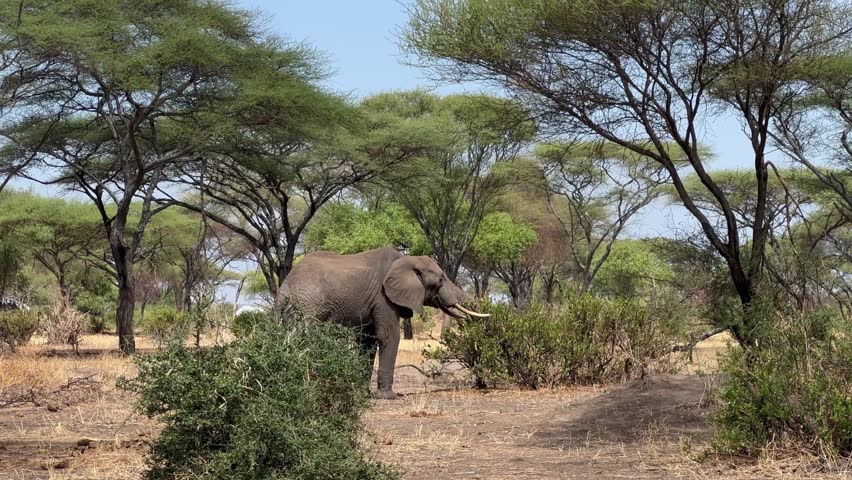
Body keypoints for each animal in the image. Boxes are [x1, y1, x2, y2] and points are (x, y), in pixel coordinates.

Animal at [277, 246, 489, 399]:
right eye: (441, 279)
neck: (407, 260)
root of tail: (283, 289)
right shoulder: (383, 297)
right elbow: (388, 336)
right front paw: (388, 396)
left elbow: (367, 341)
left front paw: (364, 394)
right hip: (308, 306)